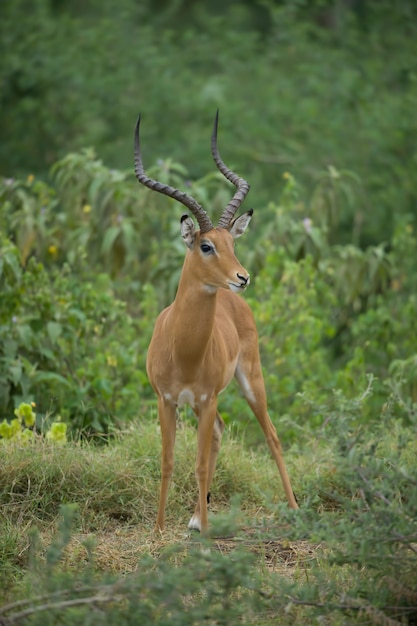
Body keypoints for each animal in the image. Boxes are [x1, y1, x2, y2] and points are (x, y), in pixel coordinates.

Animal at [135, 109, 298, 528]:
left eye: (232, 243)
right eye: (206, 245)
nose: (242, 277)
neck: (183, 349)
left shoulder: (207, 399)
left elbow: (197, 464)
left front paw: (205, 531)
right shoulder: (167, 400)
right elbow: (168, 462)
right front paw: (159, 529)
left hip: (249, 381)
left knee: (271, 436)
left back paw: (293, 508)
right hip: (200, 404)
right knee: (221, 435)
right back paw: (195, 517)